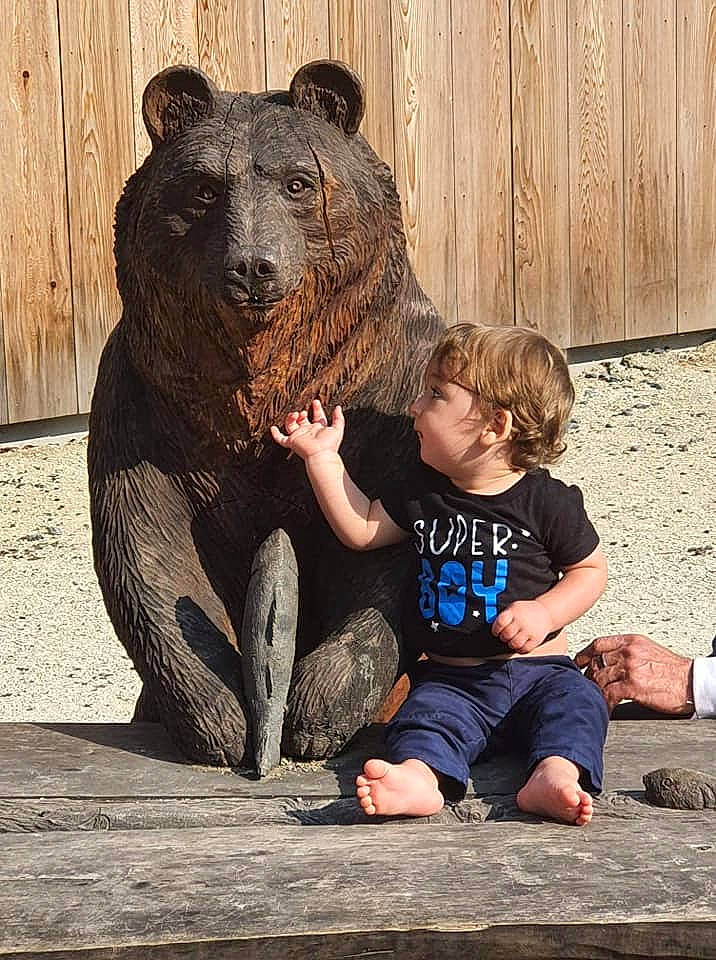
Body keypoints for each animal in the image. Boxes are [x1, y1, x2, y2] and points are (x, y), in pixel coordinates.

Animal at [88, 59, 444, 771]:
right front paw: (220, 718)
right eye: (202, 189)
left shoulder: (391, 384)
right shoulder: (144, 405)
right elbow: (146, 548)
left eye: (299, 182)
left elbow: (388, 552)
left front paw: (316, 711)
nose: (252, 267)